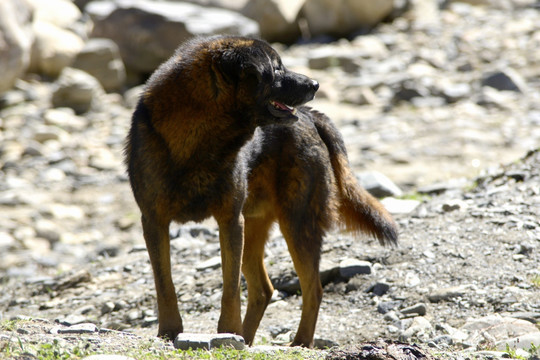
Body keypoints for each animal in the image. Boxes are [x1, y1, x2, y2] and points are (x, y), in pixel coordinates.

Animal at [124, 35, 398, 348]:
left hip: (297, 224)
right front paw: (169, 331)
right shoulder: (154, 222)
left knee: (312, 289)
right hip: (257, 227)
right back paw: (247, 338)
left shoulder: (230, 221)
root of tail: (310, 117)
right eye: (276, 69)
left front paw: (227, 332)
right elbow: (164, 284)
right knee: (264, 289)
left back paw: (298, 342)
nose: (316, 84)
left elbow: (230, 289)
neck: (201, 140)